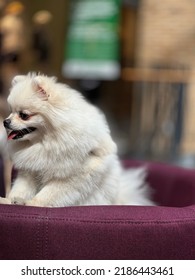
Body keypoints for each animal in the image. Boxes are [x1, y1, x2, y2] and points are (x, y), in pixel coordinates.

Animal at [0, 73, 155, 207]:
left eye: (24, 115)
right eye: (10, 111)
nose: (5, 122)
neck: (46, 142)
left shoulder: (71, 176)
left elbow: (49, 193)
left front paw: (32, 203)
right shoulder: (31, 170)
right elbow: (21, 188)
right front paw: (10, 200)